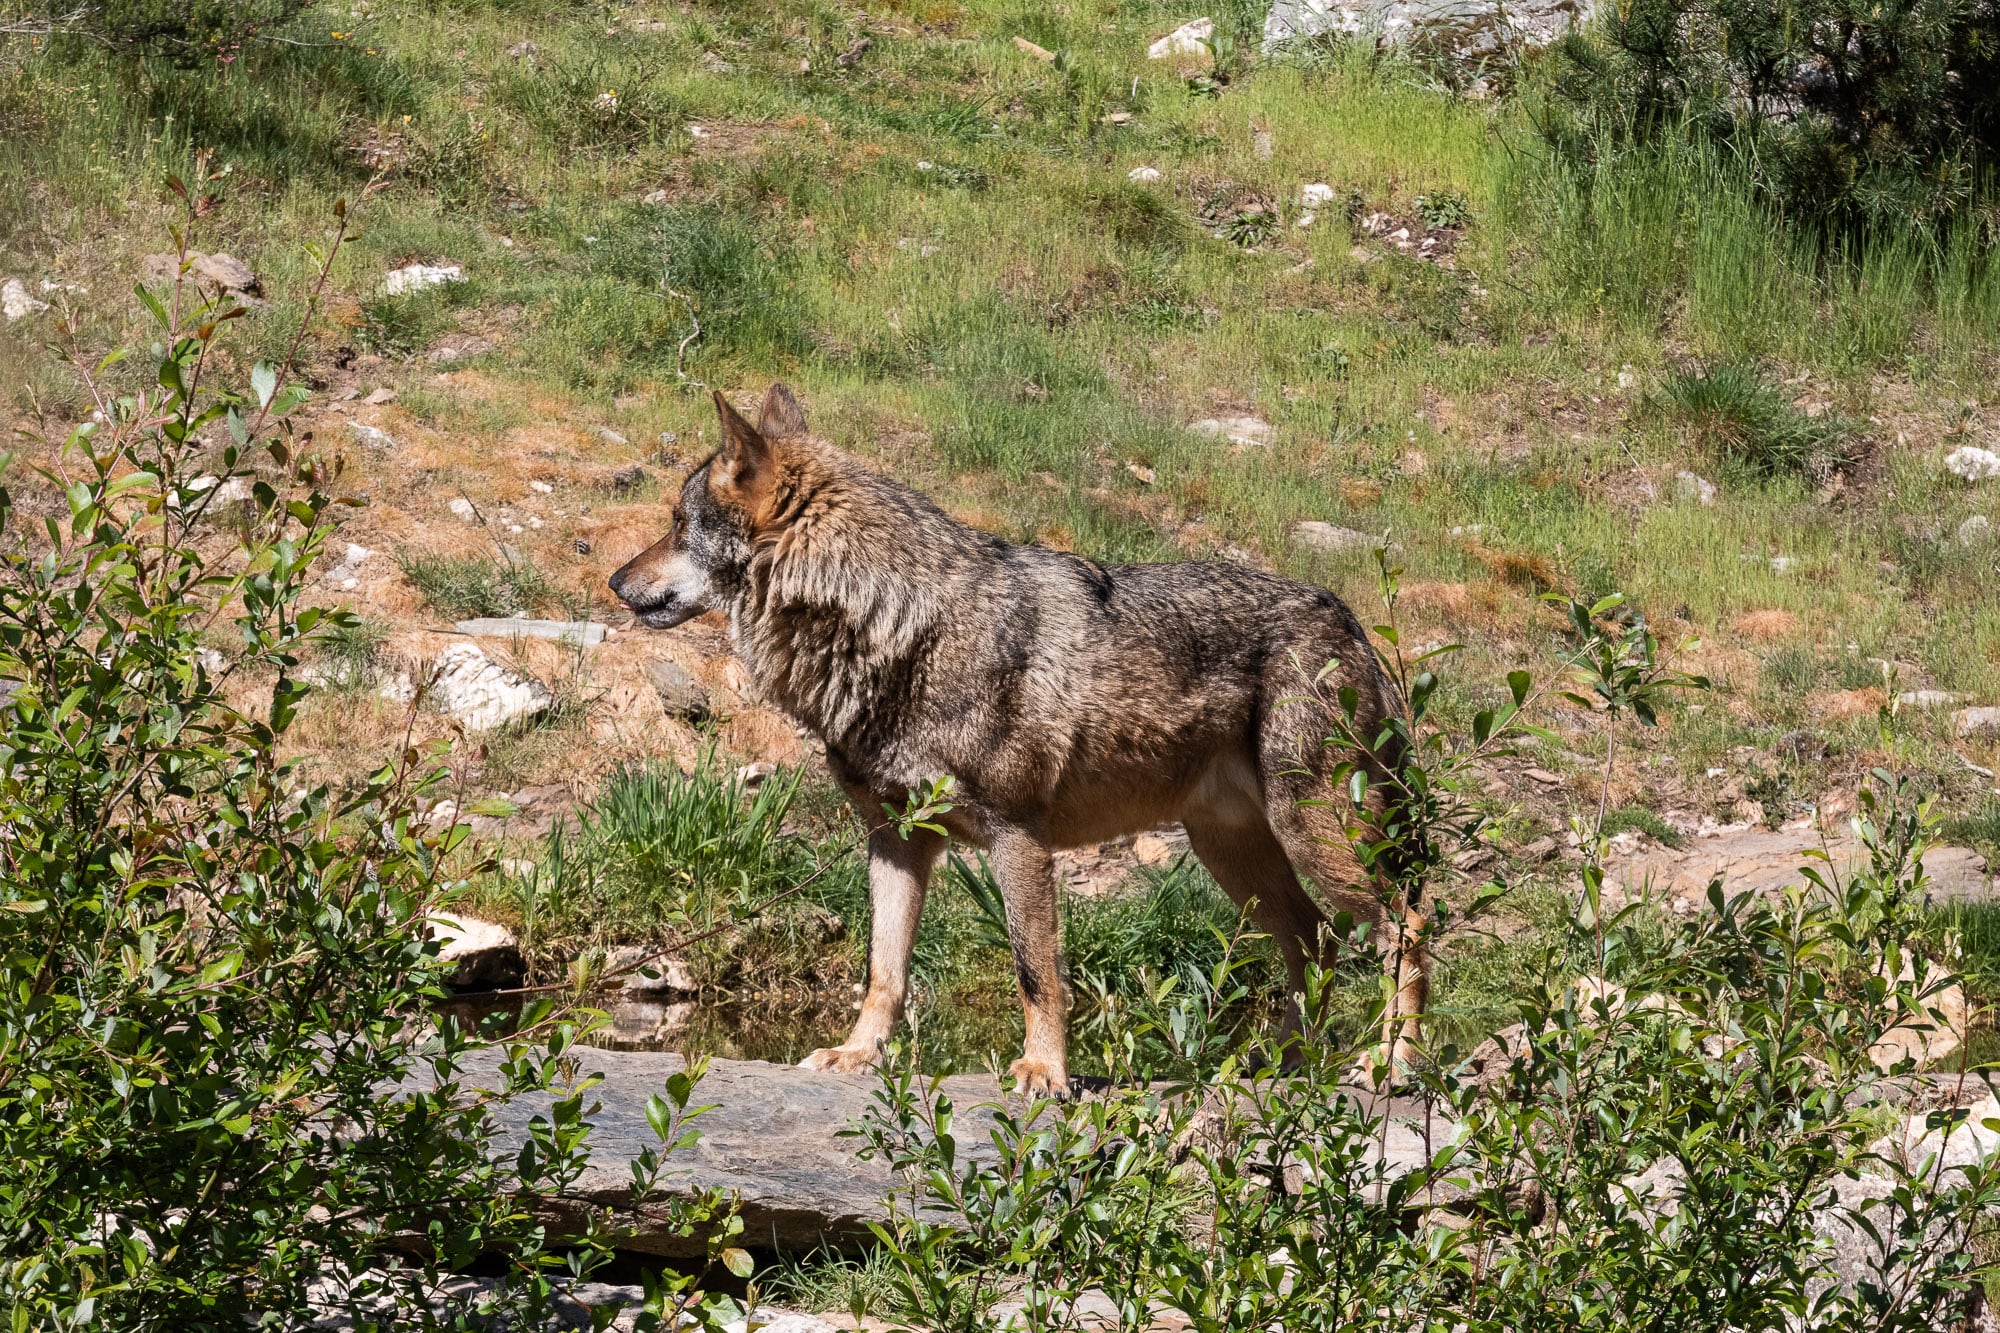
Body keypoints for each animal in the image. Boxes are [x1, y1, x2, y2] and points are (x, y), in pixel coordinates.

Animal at [609, 384, 1423, 1092]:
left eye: (677, 524)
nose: (616, 581)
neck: (893, 622)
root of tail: (1354, 622)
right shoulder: (897, 839)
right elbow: (883, 970)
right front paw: (857, 1054)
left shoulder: (1018, 837)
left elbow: (1036, 970)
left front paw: (1043, 1071)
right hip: (1235, 853)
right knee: (1315, 940)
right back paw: (1283, 1064)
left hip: (1312, 833)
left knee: (1408, 922)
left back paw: (1392, 1064)